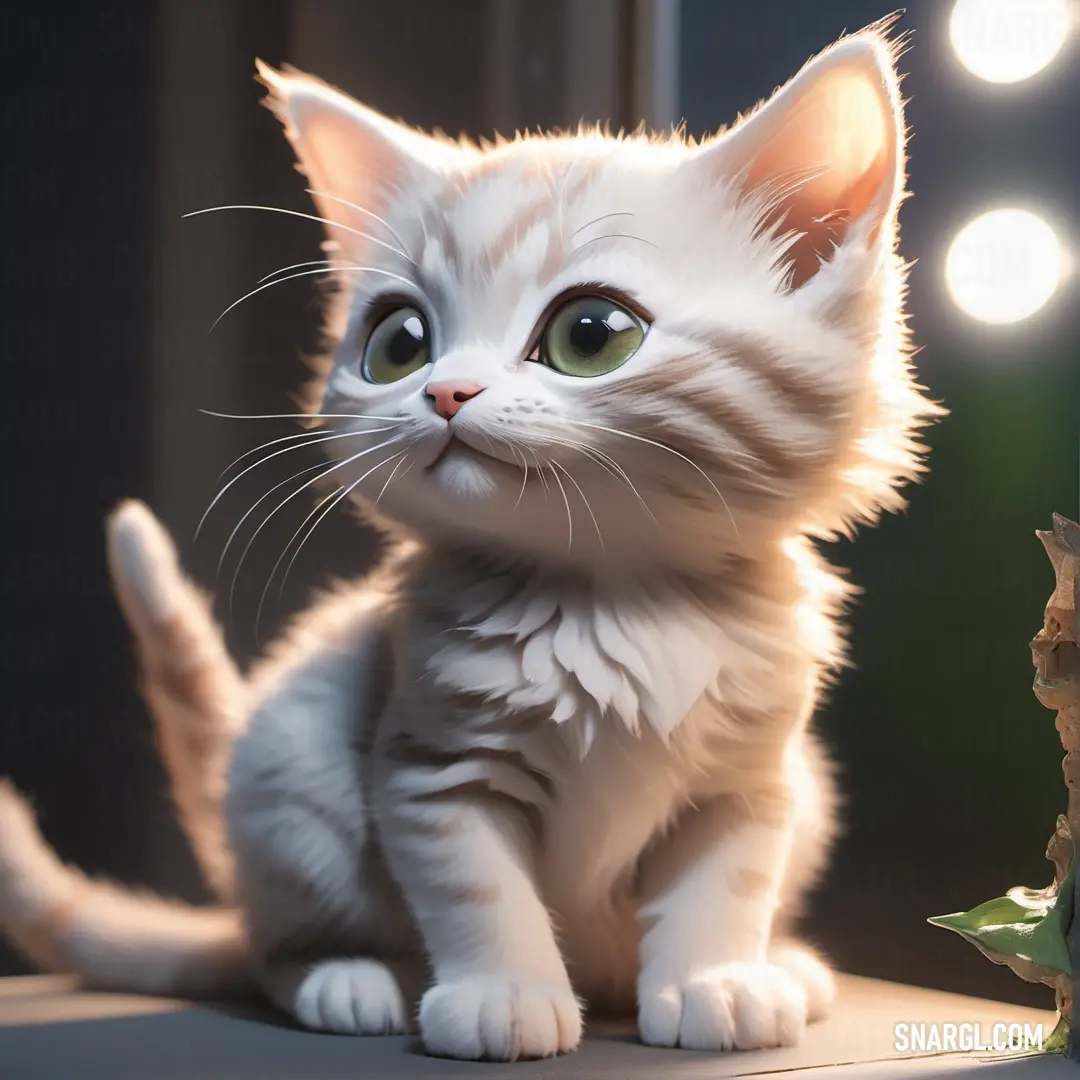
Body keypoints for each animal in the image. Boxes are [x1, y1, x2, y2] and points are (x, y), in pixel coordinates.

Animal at [0, 23, 941, 1062]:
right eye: (398, 342)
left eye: (590, 334)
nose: (445, 392)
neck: (607, 601)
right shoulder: (434, 766)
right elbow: (476, 890)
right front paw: (504, 995)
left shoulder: (752, 779)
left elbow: (727, 882)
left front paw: (714, 980)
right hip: (287, 777)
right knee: (267, 947)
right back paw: (347, 979)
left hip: (811, 794)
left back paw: (783, 966)